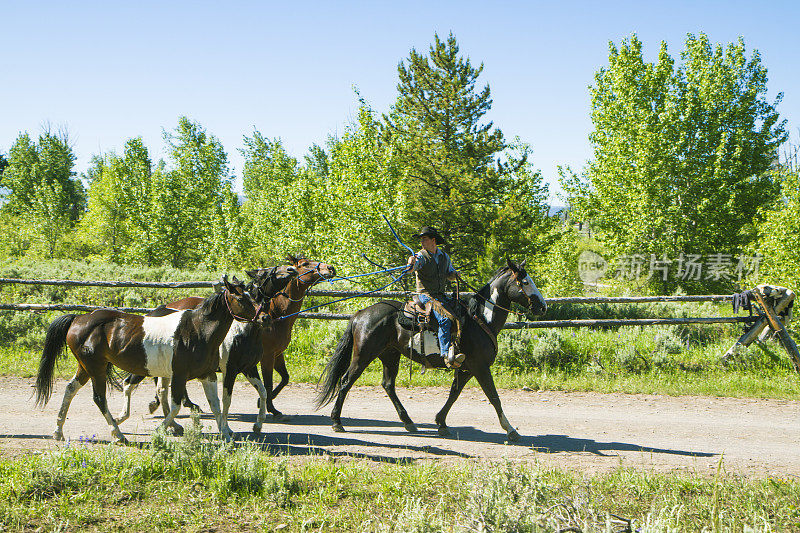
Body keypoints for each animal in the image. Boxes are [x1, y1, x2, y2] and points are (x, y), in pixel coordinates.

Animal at [34, 272, 296, 442]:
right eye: (241, 298)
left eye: (255, 296)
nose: (265, 318)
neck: (198, 330)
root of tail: (78, 319)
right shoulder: (187, 374)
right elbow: (181, 404)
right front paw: (163, 429)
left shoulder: (210, 374)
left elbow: (218, 403)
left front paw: (227, 433)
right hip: (97, 367)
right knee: (101, 398)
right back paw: (118, 433)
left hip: (86, 367)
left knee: (70, 389)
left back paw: (59, 431)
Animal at [316, 258, 548, 440]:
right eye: (525, 282)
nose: (543, 306)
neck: (481, 319)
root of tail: (360, 314)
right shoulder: (480, 367)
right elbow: (493, 396)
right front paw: (510, 430)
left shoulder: (466, 368)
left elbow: (454, 393)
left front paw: (441, 422)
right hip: (363, 354)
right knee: (346, 381)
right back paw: (337, 422)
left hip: (390, 355)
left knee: (388, 385)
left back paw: (408, 421)